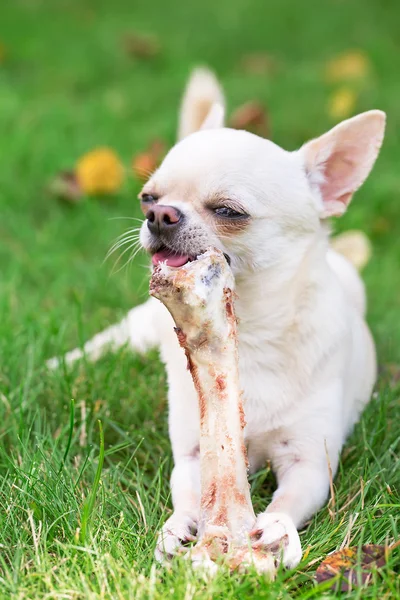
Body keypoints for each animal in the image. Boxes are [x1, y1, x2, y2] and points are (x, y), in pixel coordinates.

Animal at [48, 69, 386, 568]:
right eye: (147, 197)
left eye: (229, 211)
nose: (158, 214)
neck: (248, 335)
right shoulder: (192, 454)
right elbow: (189, 493)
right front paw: (179, 527)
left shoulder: (309, 461)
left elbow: (290, 497)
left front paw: (277, 529)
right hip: (140, 327)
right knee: (111, 340)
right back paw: (64, 365)